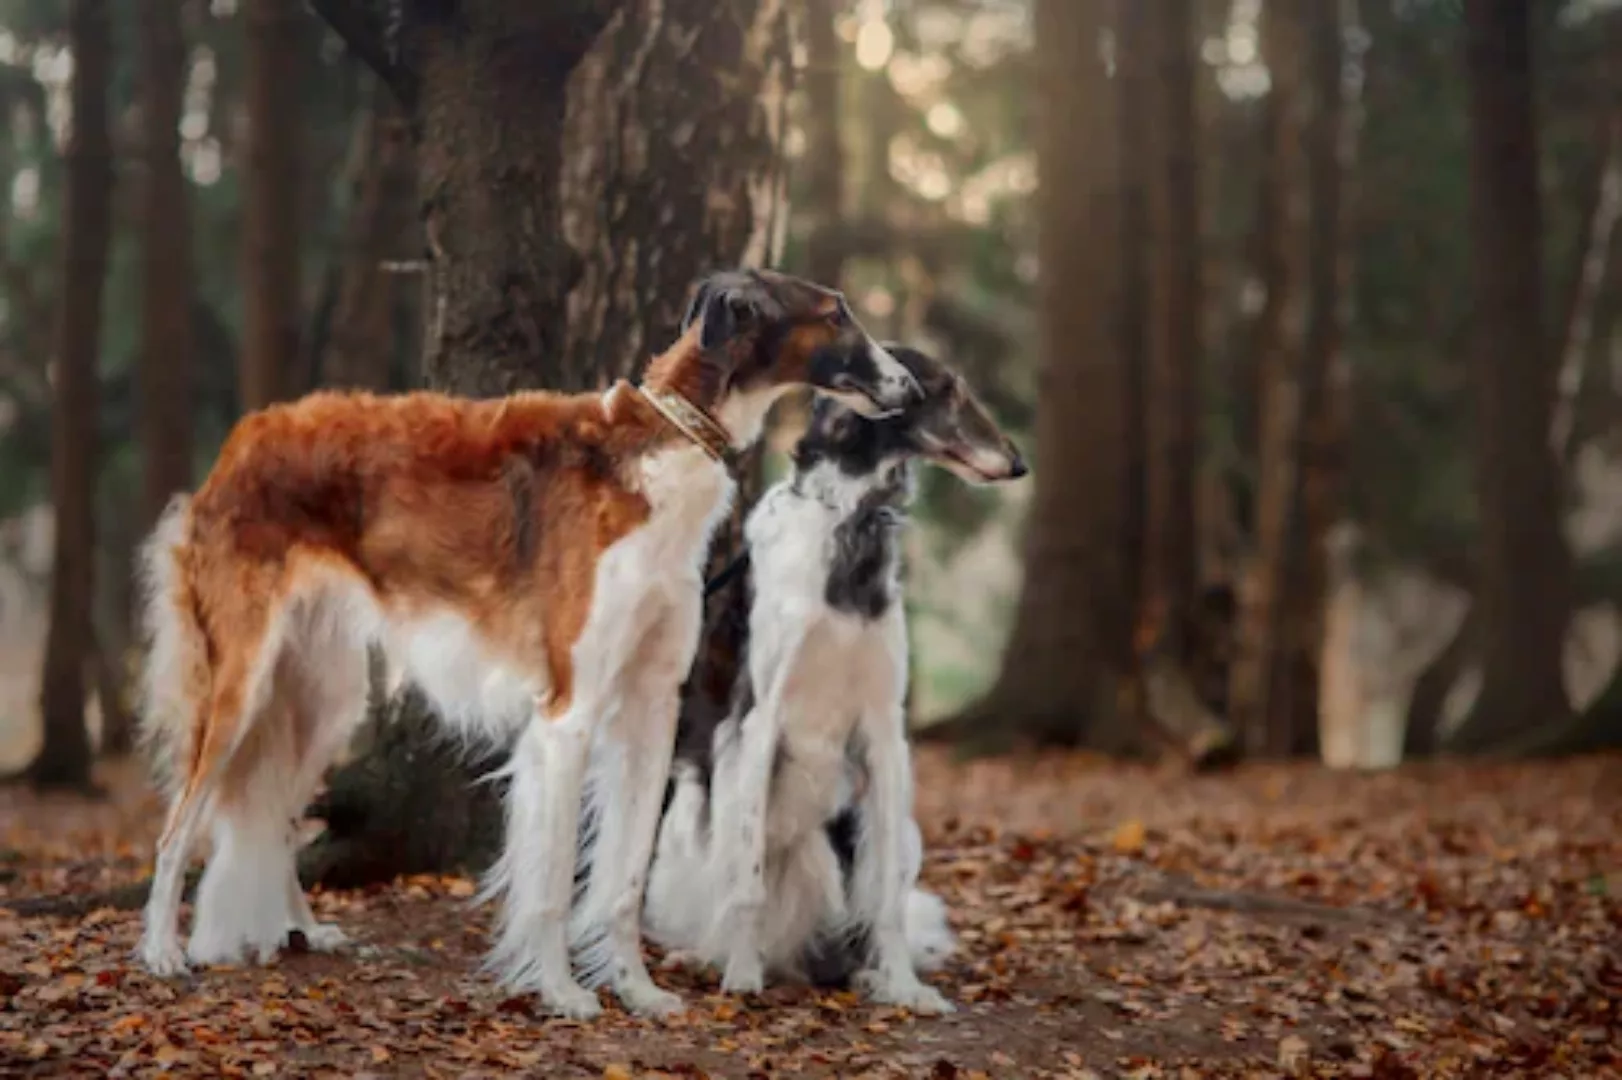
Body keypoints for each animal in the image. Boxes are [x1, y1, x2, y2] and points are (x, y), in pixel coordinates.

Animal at [133, 264, 921, 1011]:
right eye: (836, 313)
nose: (910, 386)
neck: (662, 445)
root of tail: (236, 445)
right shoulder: (569, 712)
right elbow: (551, 883)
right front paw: (561, 992)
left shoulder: (652, 705)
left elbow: (624, 882)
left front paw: (636, 989)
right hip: (242, 683)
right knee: (176, 828)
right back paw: (161, 951)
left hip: (325, 696)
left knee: (272, 814)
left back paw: (301, 927)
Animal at [642, 342, 1025, 1011]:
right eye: (948, 389)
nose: (1018, 462)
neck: (851, 520)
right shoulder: (758, 722)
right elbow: (745, 883)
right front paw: (741, 973)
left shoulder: (886, 731)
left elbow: (887, 904)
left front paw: (904, 985)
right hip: (686, 815)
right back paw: (716, 955)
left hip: (887, 833)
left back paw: (860, 971)